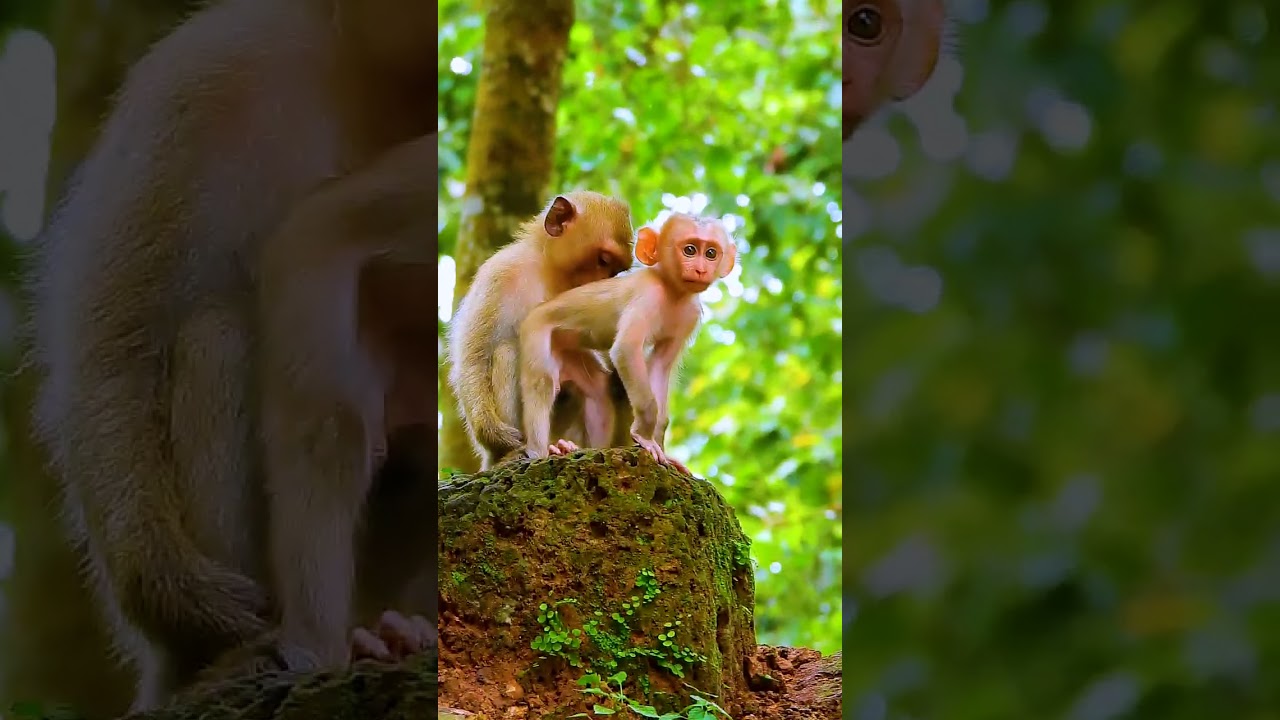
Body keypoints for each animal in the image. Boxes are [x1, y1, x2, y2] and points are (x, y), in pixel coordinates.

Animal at [446, 191, 635, 470]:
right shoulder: (500, 274)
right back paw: (514, 453)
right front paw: (492, 433)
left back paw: (565, 447)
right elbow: (475, 357)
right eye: (603, 260)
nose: (605, 284)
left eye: (616, 271)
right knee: (506, 351)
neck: (550, 274)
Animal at [518, 212, 737, 474]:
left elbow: (660, 366)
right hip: (535, 330)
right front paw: (643, 437)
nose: (701, 269)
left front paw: (659, 445)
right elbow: (626, 349)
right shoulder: (648, 295)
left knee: (597, 391)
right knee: (541, 381)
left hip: (568, 352)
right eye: (690, 250)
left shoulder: (689, 315)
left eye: (711, 253)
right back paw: (542, 451)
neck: (673, 291)